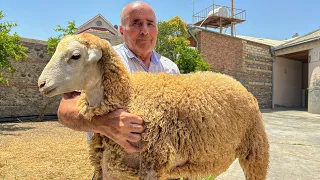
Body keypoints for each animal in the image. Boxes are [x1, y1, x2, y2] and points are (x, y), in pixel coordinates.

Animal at [37, 33, 268, 180]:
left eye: (75, 56)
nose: (41, 84)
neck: (128, 96)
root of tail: (236, 83)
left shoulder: (152, 164)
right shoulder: (112, 167)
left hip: (255, 149)